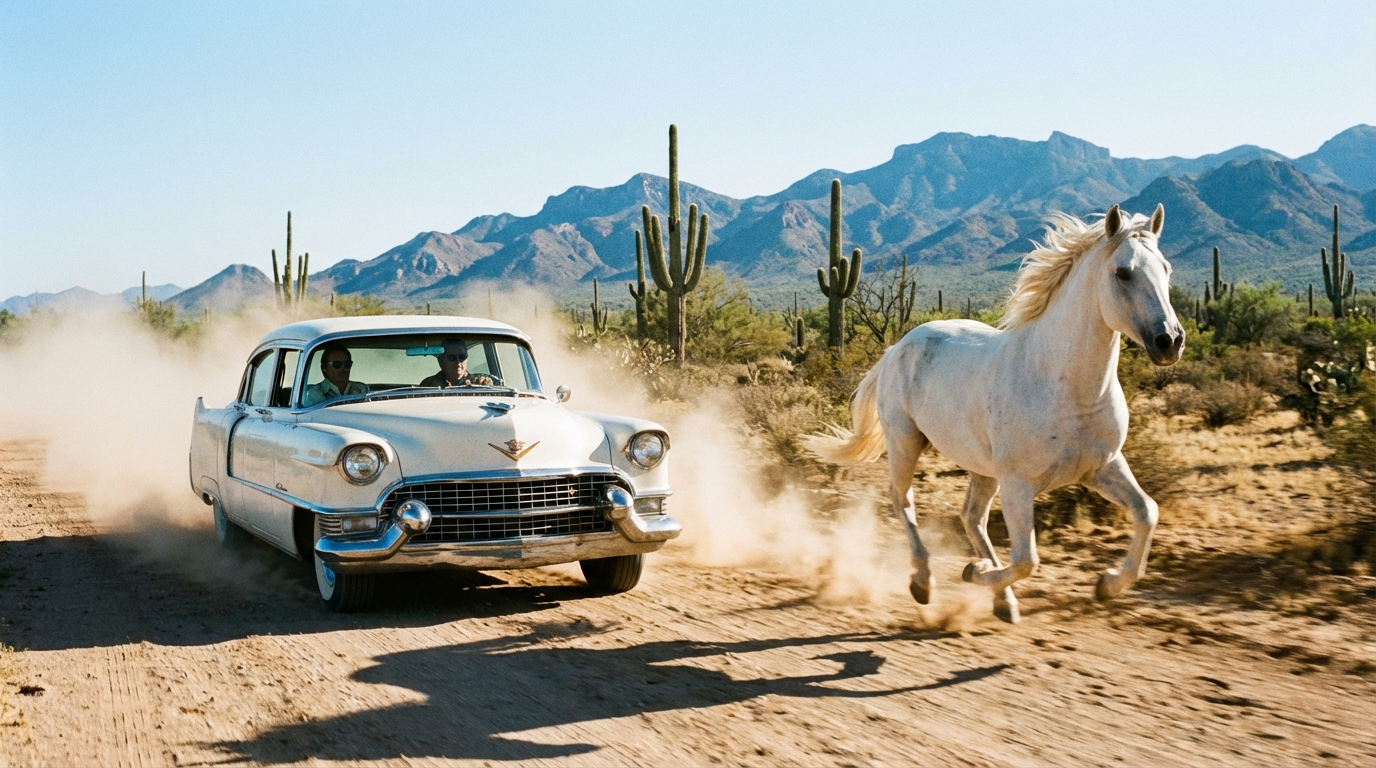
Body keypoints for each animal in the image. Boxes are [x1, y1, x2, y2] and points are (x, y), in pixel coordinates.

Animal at [806, 204, 1182, 623]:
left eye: (1166, 268)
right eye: (1123, 272)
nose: (1170, 341)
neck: (1063, 386)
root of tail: (898, 347)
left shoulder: (1103, 466)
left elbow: (1147, 512)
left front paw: (1108, 584)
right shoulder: (1018, 484)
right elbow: (1027, 559)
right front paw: (975, 573)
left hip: (982, 467)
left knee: (971, 517)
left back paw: (1002, 600)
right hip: (905, 441)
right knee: (903, 501)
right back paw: (924, 580)